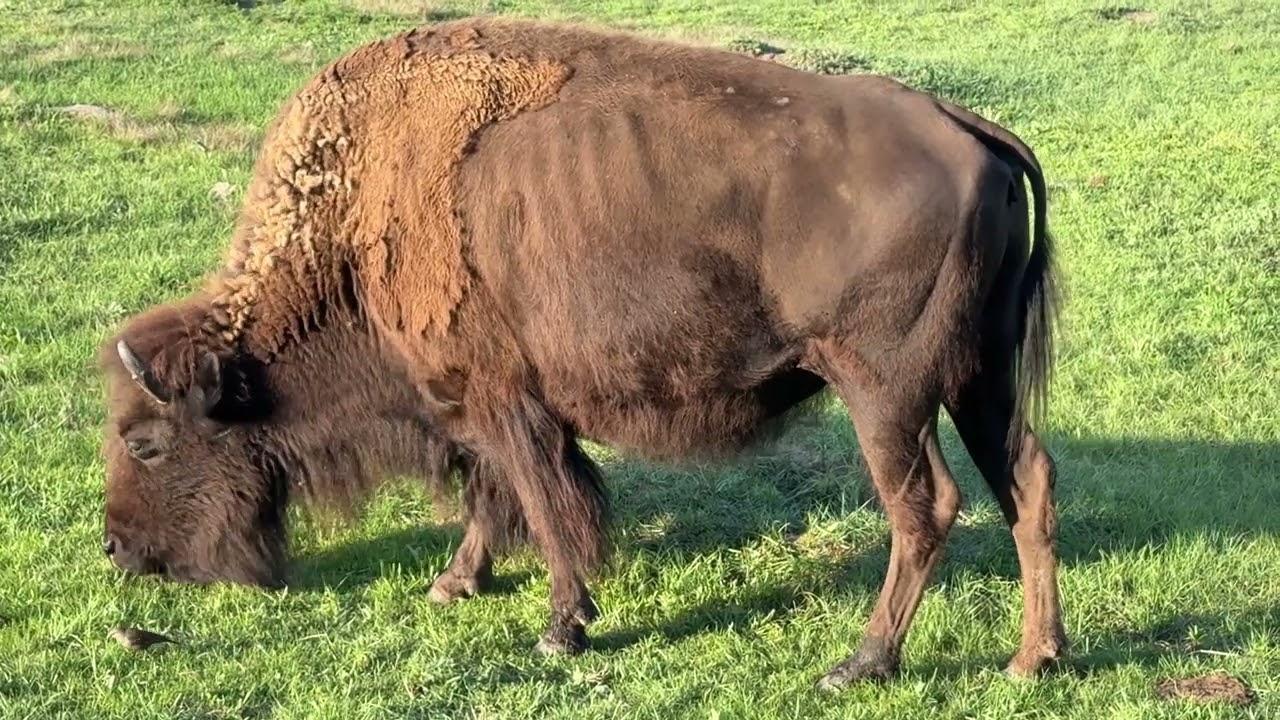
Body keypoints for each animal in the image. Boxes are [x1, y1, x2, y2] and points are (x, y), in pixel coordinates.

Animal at [100, 17, 1065, 689]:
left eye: (146, 442)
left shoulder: (505, 403)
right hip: (978, 379)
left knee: (926, 507)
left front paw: (561, 628)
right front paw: (457, 584)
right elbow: (496, 497)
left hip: (885, 391)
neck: (354, 217)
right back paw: (1035, 659)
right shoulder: (492, 406)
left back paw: (861, 663)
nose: (118, 550)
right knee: (1026, 482)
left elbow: (544, 505)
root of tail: (967, 127)